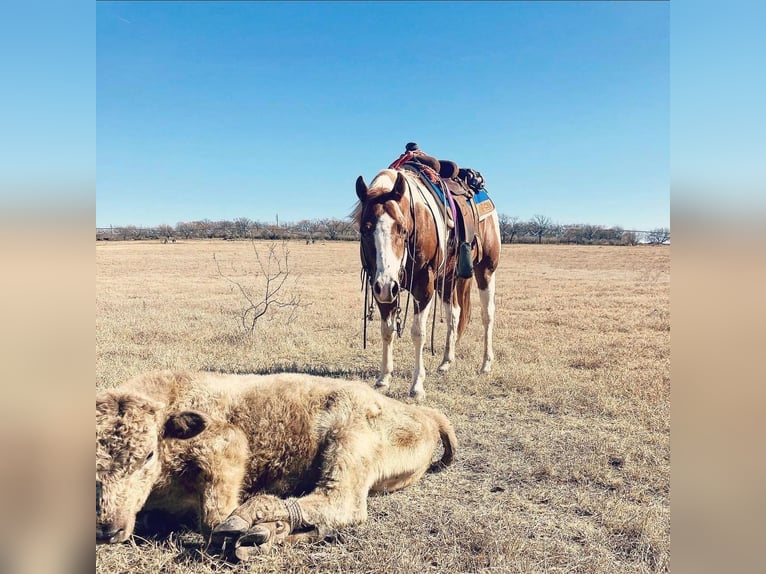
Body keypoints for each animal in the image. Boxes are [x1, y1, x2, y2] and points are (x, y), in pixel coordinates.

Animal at [96, 368, 456, 564]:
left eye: (148, 455)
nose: (108, 528)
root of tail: (425, 415)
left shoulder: (227, 445)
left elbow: (213, 522)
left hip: (347, 441)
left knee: (342, 503)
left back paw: (257, 524)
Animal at [356, 166, 504, 400]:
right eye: (364, 230)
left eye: (402, 229)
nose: (387, 284)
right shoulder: (379, 287)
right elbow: (387, 330)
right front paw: (384, 378)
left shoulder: (423, 285)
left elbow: (418, 333)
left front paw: (417, 385)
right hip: (448, 278)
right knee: (454, 314)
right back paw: (446, 362)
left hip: (486, 271)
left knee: (487, 315)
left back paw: (486, 364)